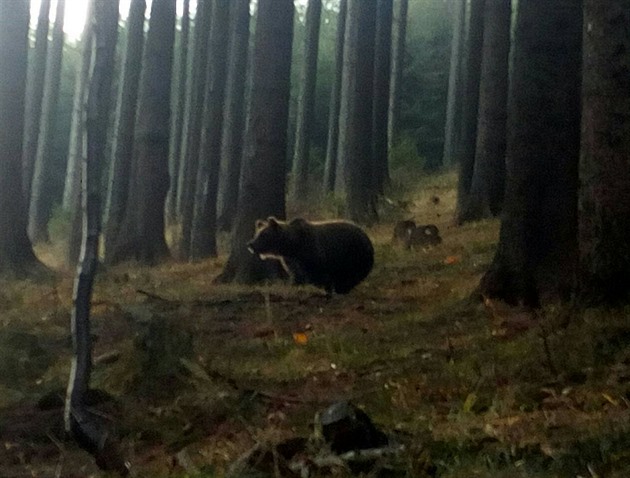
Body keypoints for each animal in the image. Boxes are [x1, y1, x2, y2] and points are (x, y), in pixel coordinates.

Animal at [247, 218, 376, 296]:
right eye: (257, 233)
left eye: (263, 235)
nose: (250, 244)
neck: (292, 246)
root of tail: (365, 235)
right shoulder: (291, 261)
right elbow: (296, 275)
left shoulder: (314, 253)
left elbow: (320, 275)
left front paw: (327, 289)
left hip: (354, 253)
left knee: (351, 274)